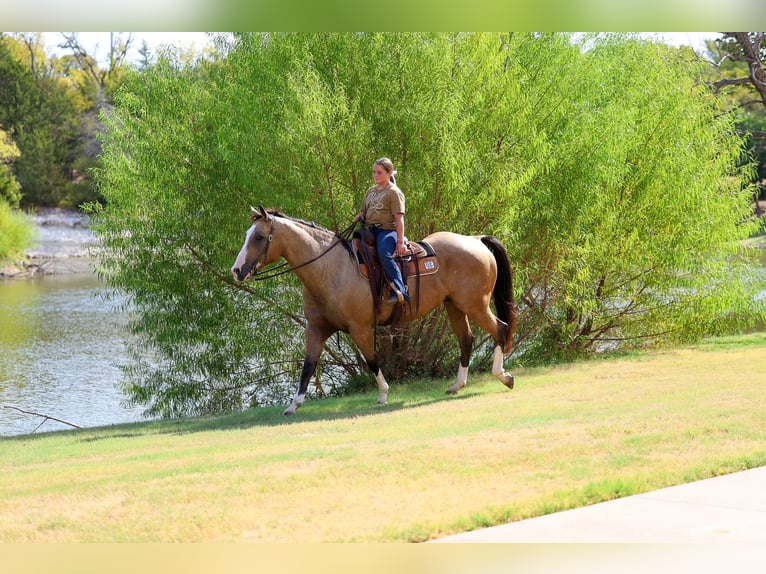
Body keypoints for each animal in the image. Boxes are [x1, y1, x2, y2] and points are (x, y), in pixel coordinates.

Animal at [231, 206, 516, 415]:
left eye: (259, 237)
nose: (236, 270)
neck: (330, 268)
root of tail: (475, 240)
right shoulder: (316, 329)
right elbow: (308, 366)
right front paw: (294, 405)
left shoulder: (360, 328)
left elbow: (371, 360)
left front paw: (383, 394)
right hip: (455, 306)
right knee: (466, 339)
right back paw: (457, 385)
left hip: (475, 305)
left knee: (500, 329)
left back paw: (503, 376)